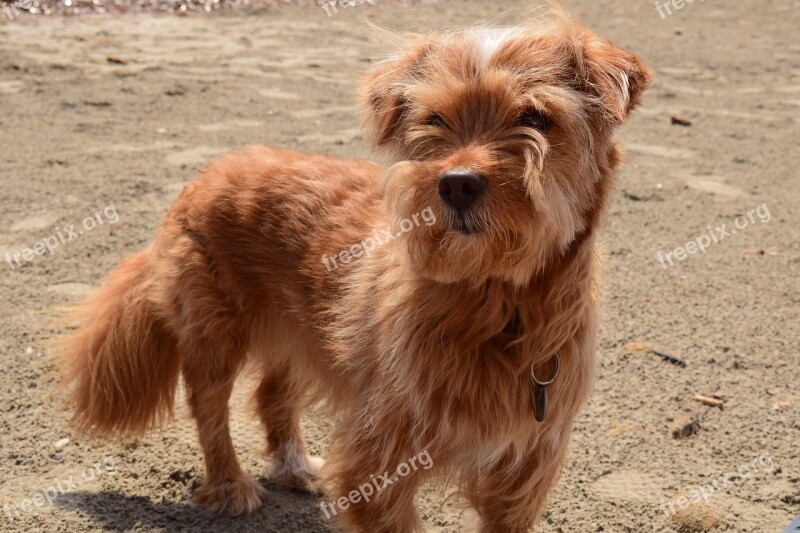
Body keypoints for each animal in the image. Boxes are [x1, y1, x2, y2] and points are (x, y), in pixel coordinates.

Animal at [61, 9, 648, 532]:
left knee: (270, 394)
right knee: (208, 407)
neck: (497, 303)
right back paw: (230, 485)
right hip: (215, 334)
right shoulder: (379, 464)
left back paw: (296, 469)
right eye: (434, 120)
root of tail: (204, 175)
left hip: (301, 331)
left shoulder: (522, 472)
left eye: (535, 118)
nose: (456, 183)